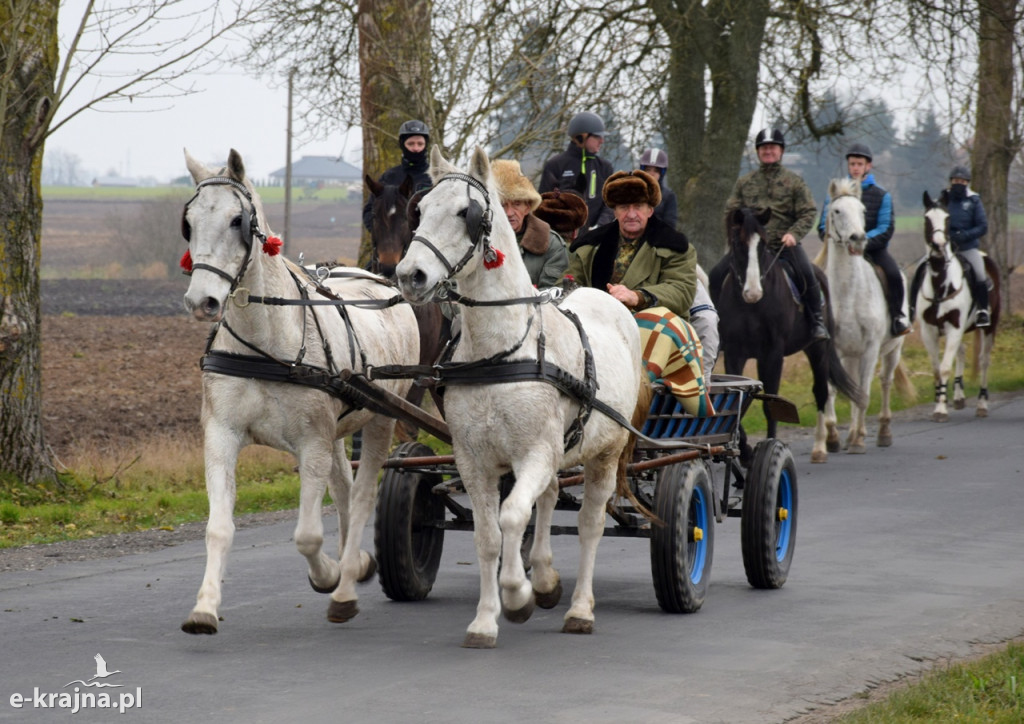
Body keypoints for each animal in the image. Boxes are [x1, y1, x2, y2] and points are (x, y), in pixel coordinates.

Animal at [178, 148, 417, 634]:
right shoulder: (222, 436)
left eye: (237, 220)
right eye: (188, 223)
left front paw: (328, 576)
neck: (267, 341)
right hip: (342, 428)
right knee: (344, 488)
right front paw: (205, 607)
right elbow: (218, 528)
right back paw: (356, 563)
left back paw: (345, 586)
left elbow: (307, 535)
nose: (202, 302)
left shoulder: (312, 443)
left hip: (381, 419)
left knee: (361, 496)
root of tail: (386, 285)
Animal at [393, 148, 647, 651]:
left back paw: (580, 609)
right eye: (421, 209)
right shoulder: (474, 460)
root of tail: (606, 298)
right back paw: (547, 578)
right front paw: (486, 619)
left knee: (589, 523)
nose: (410, 275)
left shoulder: (533, 454)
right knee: (547, 498)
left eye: (466, 213)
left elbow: (512, 518)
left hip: (604, 453)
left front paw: (516, 596)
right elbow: (489, 535)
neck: (502, 350)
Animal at [712, 206, 864, 464]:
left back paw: (821, 447)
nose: (753, 292)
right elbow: (735, 404)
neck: (752, 306)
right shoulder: (734, 353)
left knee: (821, 392)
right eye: (738, 243)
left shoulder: (772, 354)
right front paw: (746, 452)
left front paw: (770, 448)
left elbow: (771, 404)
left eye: (763, 245)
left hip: (817, 349)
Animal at [819, 178, 917, 452]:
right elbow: (834, 391)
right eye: (836, 211)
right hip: (851, 355)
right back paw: (851, 433)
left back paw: (881, 432)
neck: (847, 293)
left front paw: (860, 439)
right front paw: (832, 437)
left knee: (884, 382)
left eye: (862, 211)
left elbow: (864, 393)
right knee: (853, 384)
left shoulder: (871, 348)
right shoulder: (833, 349)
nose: (858, 239)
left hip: (892, 350)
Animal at [921, 191, 999, 423]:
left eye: (947, 219)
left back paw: (981, 404)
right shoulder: (929, 330)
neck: (940, 285)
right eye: (927, 219)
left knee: (984, 361)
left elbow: (945, 367)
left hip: (989, 326)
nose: (938, 245)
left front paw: (940, 409)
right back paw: (958, 396)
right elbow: (937, 370)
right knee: (962, 352)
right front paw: (940, 401)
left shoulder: (954, 328)